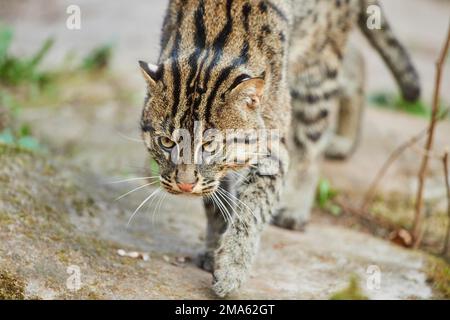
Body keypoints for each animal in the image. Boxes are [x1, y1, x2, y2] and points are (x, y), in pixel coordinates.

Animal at [139, 0, 420, 298]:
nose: (184, 185)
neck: (210, 49)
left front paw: (232, 267)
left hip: (315, 68)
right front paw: (214, 247)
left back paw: (297, 203)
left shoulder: (273, 148)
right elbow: (216, 203)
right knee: (355, 59)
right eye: (166, 142)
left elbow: (252, 209)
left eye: (210, 145)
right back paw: (345, 139)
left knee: (310, 143)